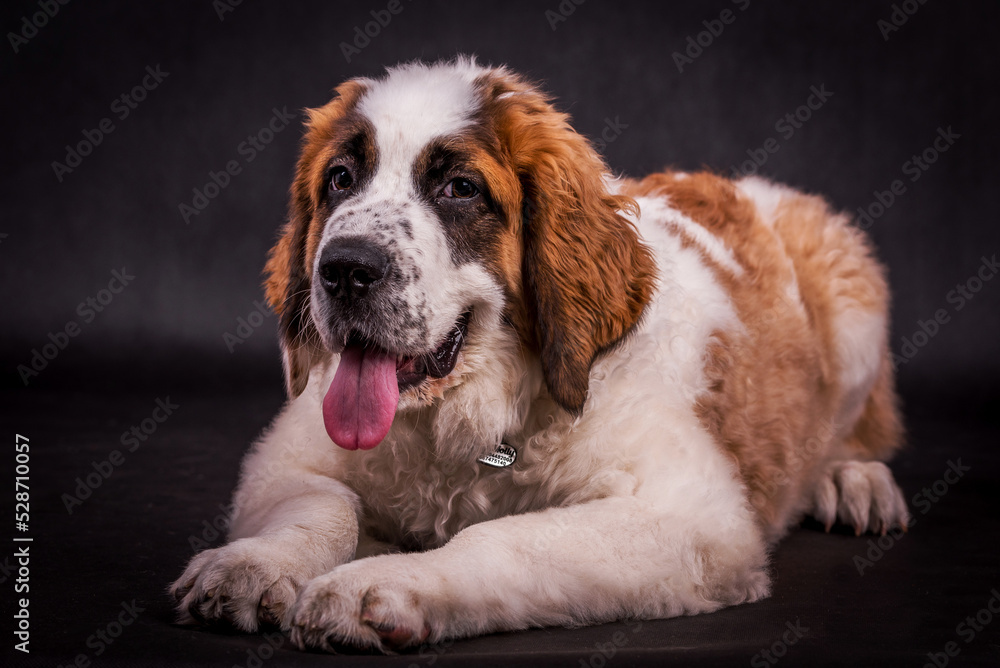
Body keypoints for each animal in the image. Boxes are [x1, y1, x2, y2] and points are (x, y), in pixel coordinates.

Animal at [170, 57, 908, 652]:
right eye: (341, 180)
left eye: (460, 189)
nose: (346, 269)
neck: (472, 414)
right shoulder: (285, 456)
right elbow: (320, 506)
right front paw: (253, 564)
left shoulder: (688, 515)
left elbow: (501, 538)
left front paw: (385, 584)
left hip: (851, 295)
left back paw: (852, 480)